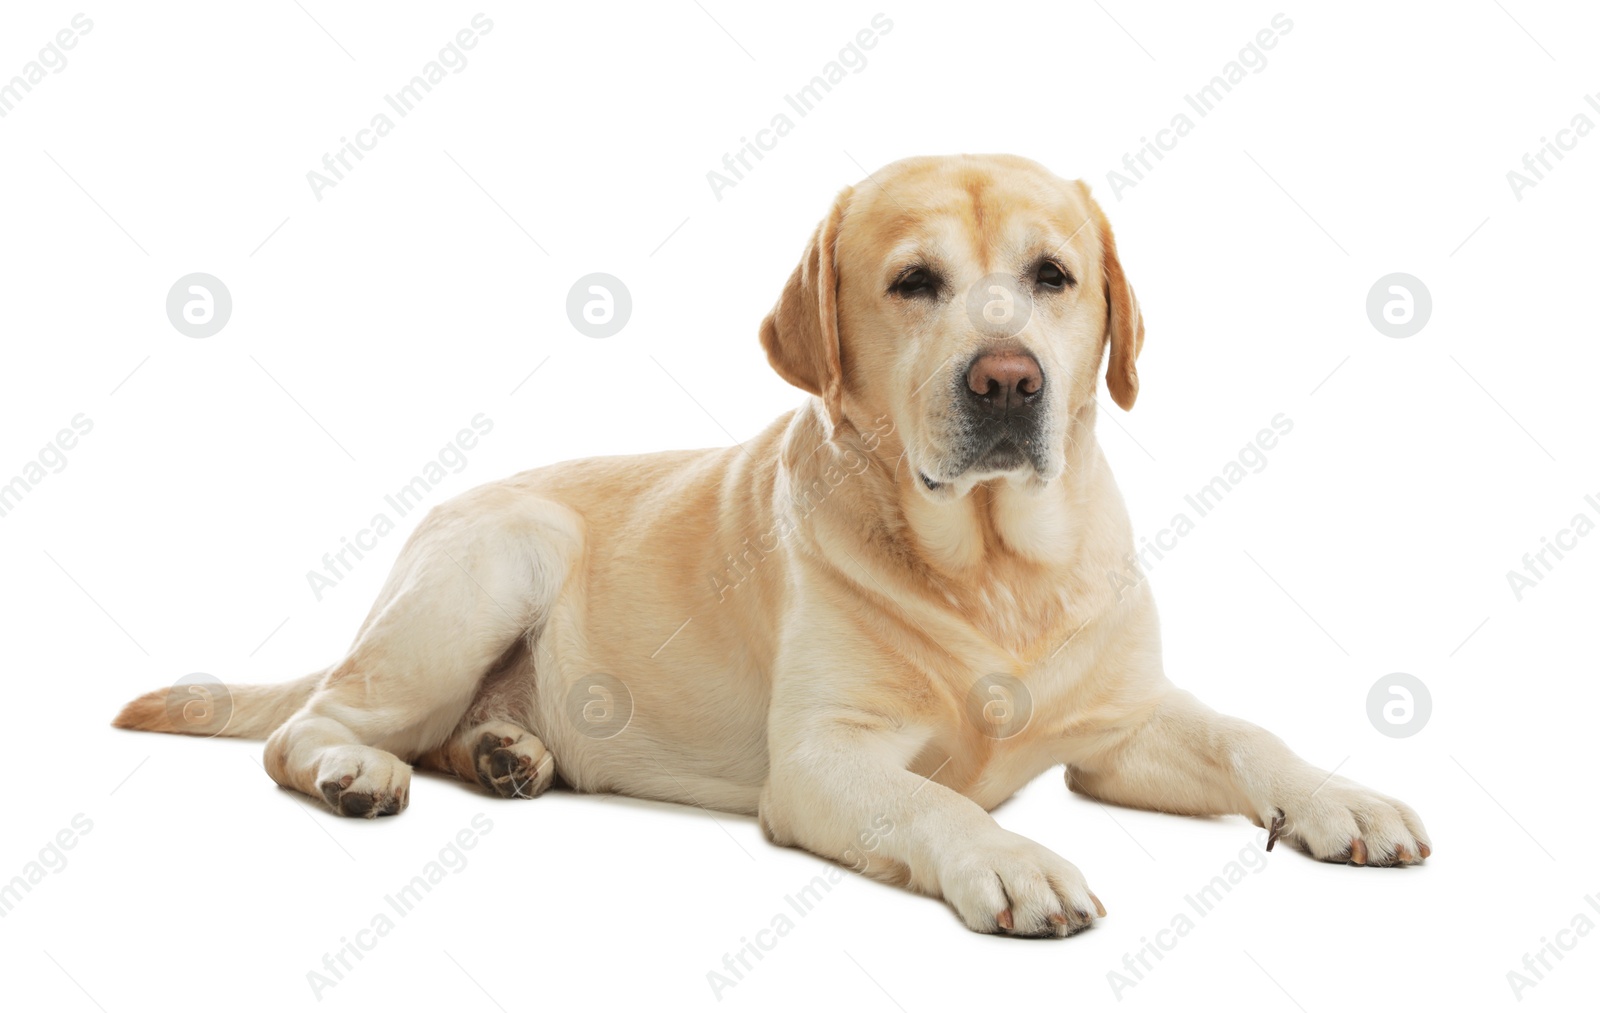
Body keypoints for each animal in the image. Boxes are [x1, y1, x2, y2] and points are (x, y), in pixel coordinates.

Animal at [118, 154, 1433, 934]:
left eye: (1053, 275)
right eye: (914, 282)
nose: (1008, 380)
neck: (994, 569)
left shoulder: (1125, 727)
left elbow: (1249, 735)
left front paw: (1343, 798)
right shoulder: (823, 759)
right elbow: (936, 801)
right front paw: (1011, 858)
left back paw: (505, 752)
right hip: (495, 560)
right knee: (309, 725)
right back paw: (359, 769)